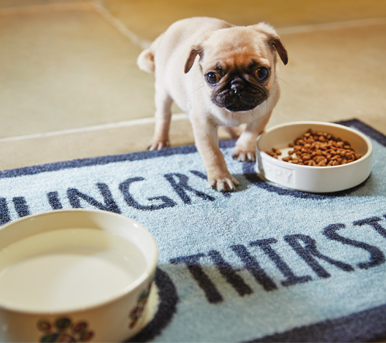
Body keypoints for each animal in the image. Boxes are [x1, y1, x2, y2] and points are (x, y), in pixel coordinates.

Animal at [138, 17, 286, 192]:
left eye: (262, 72)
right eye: (211, 77)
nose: (237, 86)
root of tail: (164, 35)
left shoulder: (265, 111)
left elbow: (252, 131)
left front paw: (244, 148)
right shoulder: (204, 126)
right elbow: (213, 153)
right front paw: (221, 177)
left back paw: (236, 132)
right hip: (163, 91)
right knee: (163, 116)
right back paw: (160, 140)